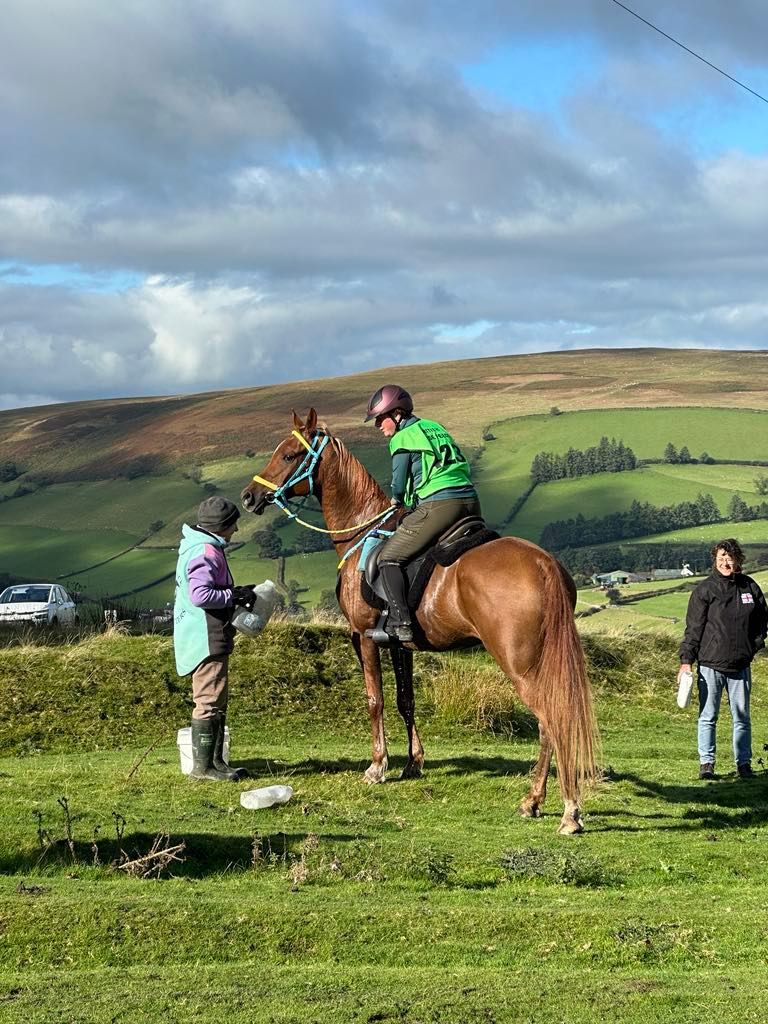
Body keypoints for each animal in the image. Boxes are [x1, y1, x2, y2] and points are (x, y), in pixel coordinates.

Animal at [241, 407, 602, 831]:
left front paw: (377, 766)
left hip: (521, 664)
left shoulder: (363, 636)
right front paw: (413, 764)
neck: (363, 531)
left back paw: (570, 811)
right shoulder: (400, 643)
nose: (249, 496)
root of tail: (543, 563)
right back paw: (532, 800)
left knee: (552, 719)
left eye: (288, 455)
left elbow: (376, 700)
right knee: (549, 724)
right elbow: (405, 700)